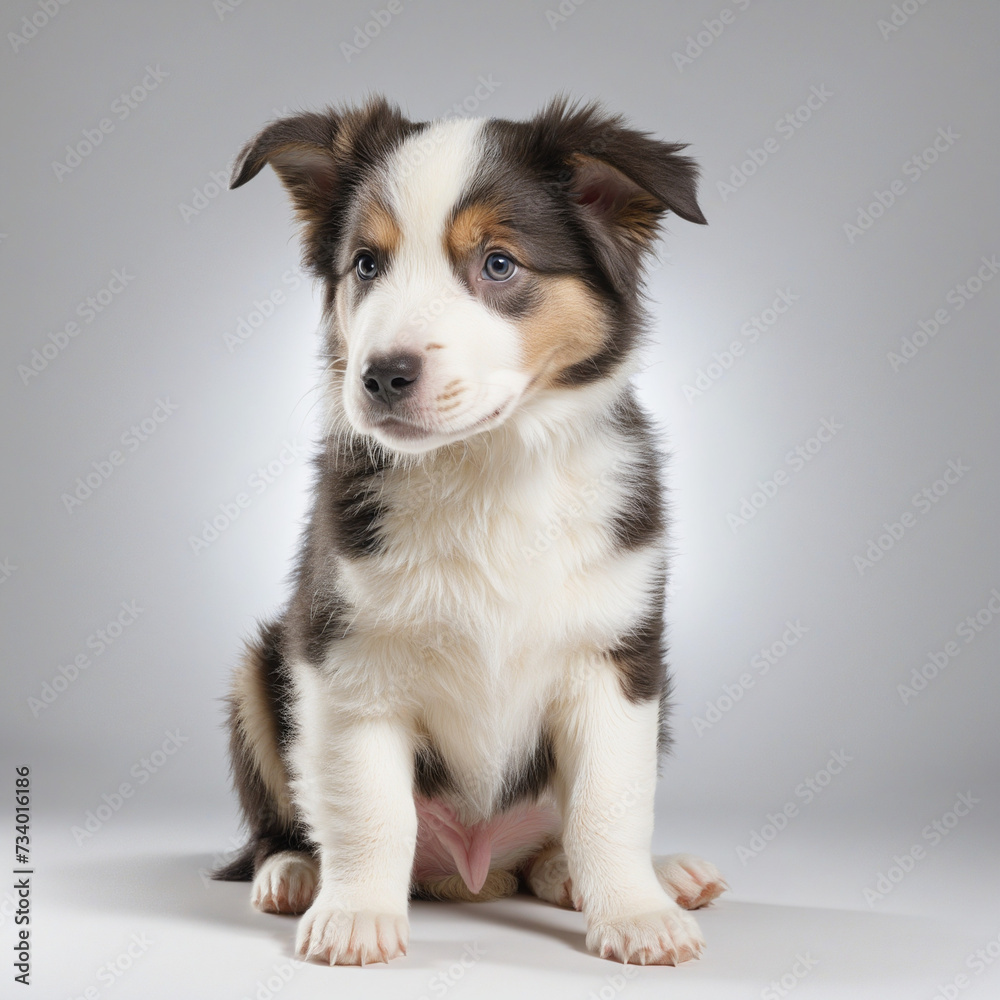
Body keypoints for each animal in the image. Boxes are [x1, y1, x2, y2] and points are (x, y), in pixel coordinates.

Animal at [215, 97, 724, 964]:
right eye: (366, 266)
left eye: (498, 265)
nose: (381, 376)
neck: (489, 467)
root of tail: (477, 873)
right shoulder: (348, 657)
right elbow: (370, 805)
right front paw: (356, 916)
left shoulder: (616, 656)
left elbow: (610, 803)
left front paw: (633, 914)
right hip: (262, 666)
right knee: (291, 818)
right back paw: (293, 873)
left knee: (556, 839)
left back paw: (630, 875)